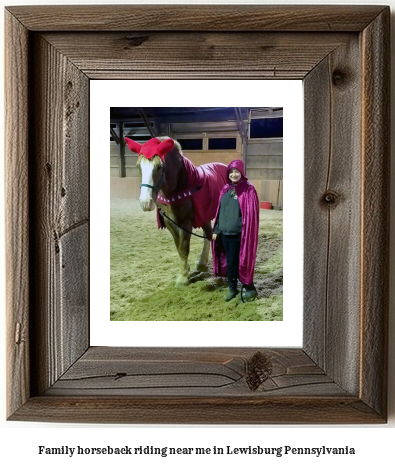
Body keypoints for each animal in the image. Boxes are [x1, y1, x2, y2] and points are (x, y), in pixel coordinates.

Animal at [124, 134, 229, 284]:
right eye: (138, 166)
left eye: (159, 166)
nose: (145, 202)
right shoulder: (170, 222)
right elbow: (178, 247)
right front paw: (185, 270)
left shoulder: (186, 222)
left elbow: (184, 247)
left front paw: (183, 278)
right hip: (204, 215)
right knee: (208, 234)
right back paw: (202, 263)